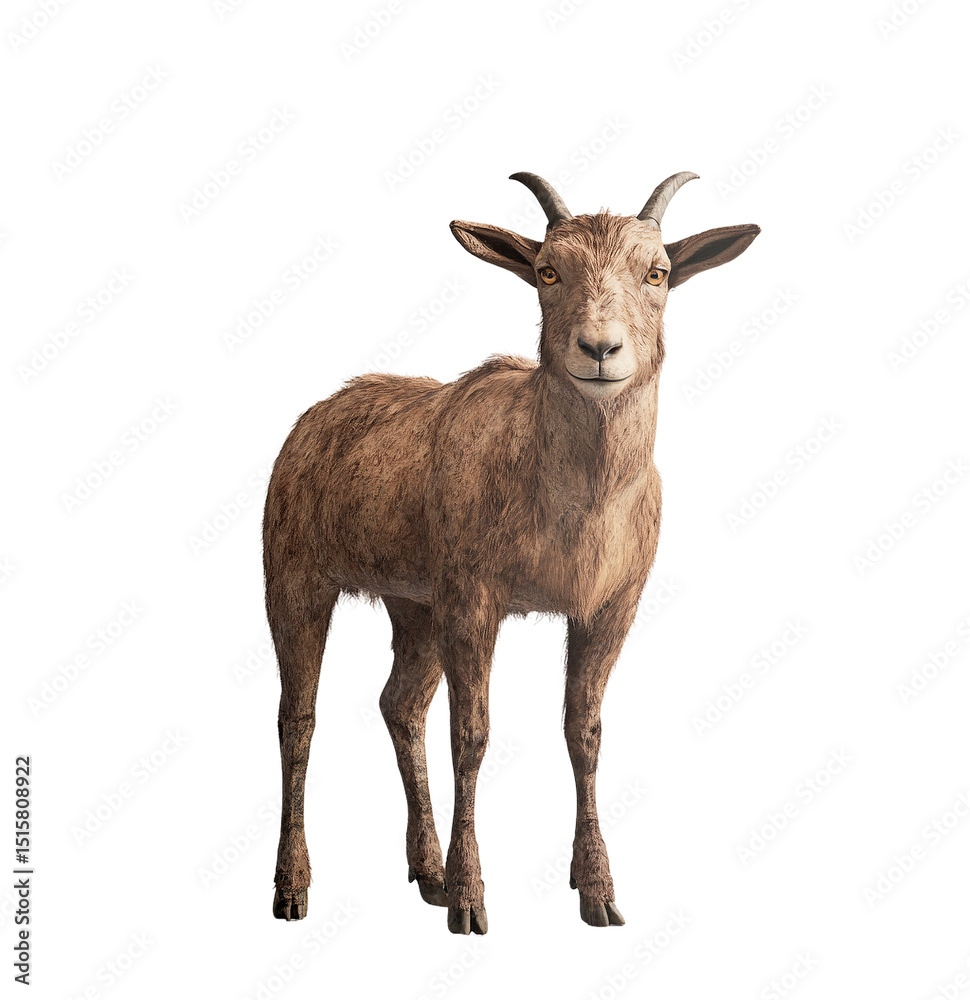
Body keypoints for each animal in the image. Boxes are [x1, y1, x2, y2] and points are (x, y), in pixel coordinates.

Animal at [263, 171, 759, 934]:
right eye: (547, 270)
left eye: (658, 272)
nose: (600, 349)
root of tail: (308, 422)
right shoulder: (474, 600)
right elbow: (471, 736)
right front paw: (472, 901)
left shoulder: (610, 606)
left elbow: (584, 731)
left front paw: (597, 892)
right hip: (295, 578)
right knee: (299, 718)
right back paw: (294, 888)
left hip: (414, 605)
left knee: (400, 704)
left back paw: (427, 871)